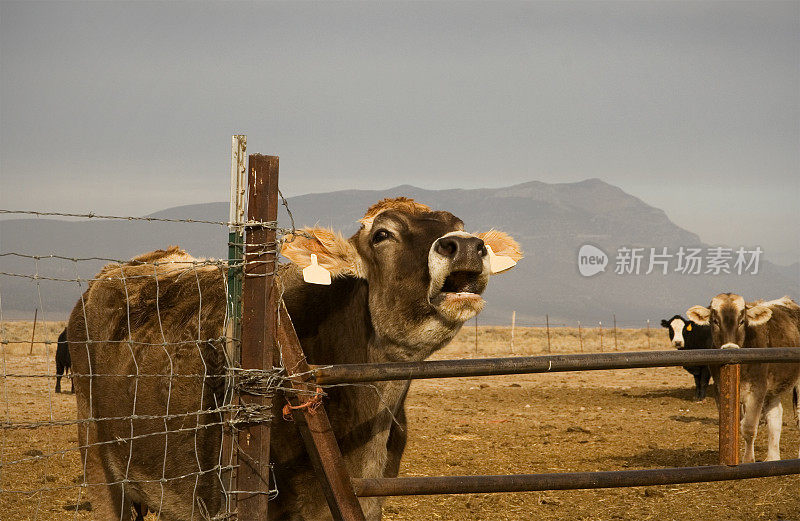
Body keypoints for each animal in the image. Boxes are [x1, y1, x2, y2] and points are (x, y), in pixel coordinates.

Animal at [684, 294, 800, 462]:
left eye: (742, 321)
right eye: (715, 321)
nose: (729, 349)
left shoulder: (757, 389)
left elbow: (749, 428)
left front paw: (748, 460)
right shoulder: (719, 390)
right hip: (773, 390)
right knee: (775, 416)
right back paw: (772, 458)